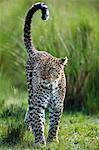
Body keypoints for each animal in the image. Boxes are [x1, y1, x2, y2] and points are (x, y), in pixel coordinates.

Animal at [23, 2, 67, 148]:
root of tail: (36, 51)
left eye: (51, 69)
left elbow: (54, 123)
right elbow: (38, 121)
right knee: (31, 109)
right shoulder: (38, 104)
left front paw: (52, 140)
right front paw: (39, 142)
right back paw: (29, 127)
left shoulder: (58, 105)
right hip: (31, 93)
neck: (51, 86)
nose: (43, 78)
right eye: (40, 68)